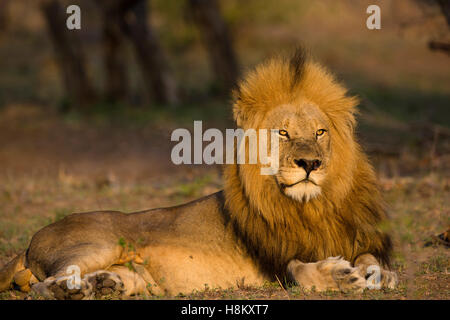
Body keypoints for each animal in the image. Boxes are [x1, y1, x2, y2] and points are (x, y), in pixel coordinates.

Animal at [0, 48, 396, 298]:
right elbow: (301, 270)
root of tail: (31, 239)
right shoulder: (273, 259)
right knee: (42, 286)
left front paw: (381, 273)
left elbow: (370, 258)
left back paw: (105, 285)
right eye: (282, 133)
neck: (311, 206)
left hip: (133, 273)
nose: (310, 164)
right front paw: (341, 276)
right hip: (100, 243)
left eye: (320, 132)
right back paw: (74, 290)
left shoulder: (356, 238)